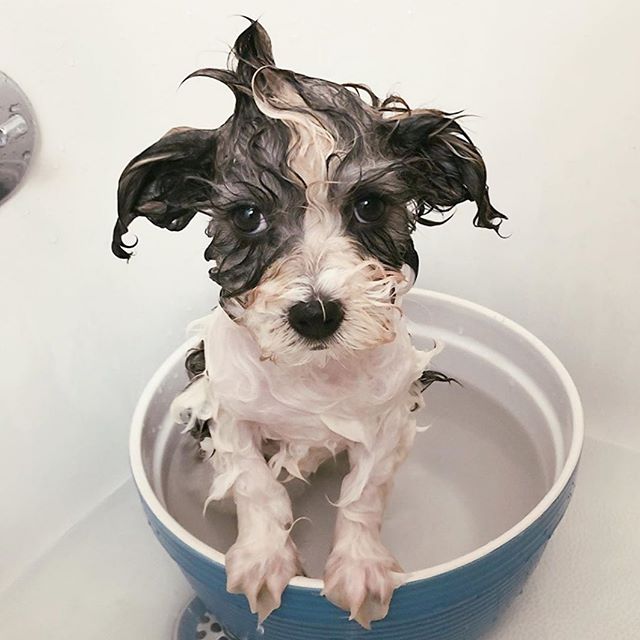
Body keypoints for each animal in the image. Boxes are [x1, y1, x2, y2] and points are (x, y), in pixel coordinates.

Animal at [114, 20, 504, 632]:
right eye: (248, 216)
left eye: (369, 206)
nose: (316, 314)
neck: (311, 377)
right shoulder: (224, 406)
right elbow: (253, 483)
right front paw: (262, 558)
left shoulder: (389, 414)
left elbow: (363, 492)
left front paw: (360, 566)